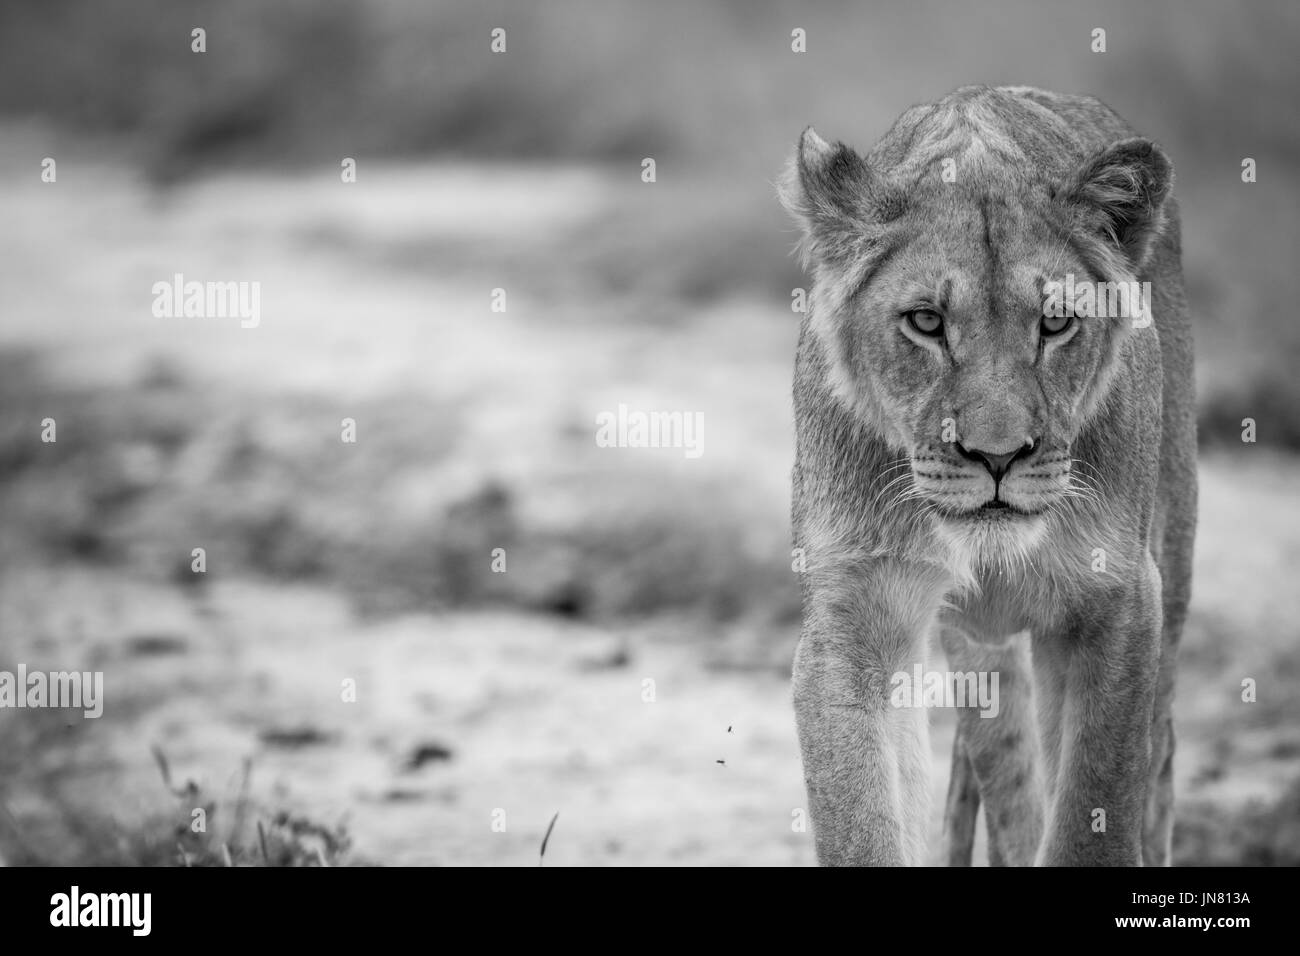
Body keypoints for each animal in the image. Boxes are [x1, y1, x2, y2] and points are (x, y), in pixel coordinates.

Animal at [779, 86, 1196, 866]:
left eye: (1056, 323)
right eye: (925, 321)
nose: (997, 457)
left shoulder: (1122, 597)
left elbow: (1092, 812)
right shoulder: (852, 612)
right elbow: (861, 818)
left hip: (1175, 558)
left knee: (1158, 753)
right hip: (983, 657)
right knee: (1008, 779)